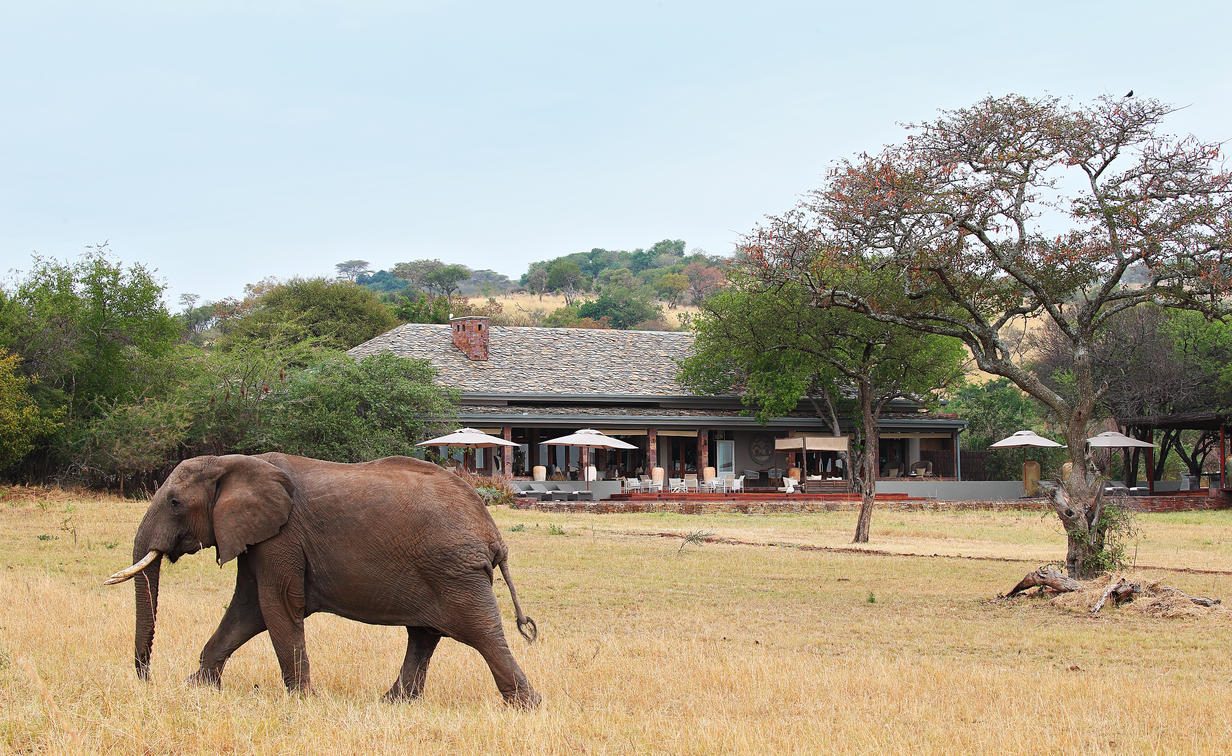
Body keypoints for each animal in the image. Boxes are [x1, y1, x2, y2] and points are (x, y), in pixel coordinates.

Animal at [108, 453, 542, 709]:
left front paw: (303, 702)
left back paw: (525, 706)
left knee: (480, 633)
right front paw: (196, 688)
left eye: (175, 503)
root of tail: (491, 531)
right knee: (424, 635)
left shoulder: (281, 538)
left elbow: (278, 606)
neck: (234, 462)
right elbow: (248, 611)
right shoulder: (259, 538)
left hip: (454, 571)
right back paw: (391, 704)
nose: (146, 679)